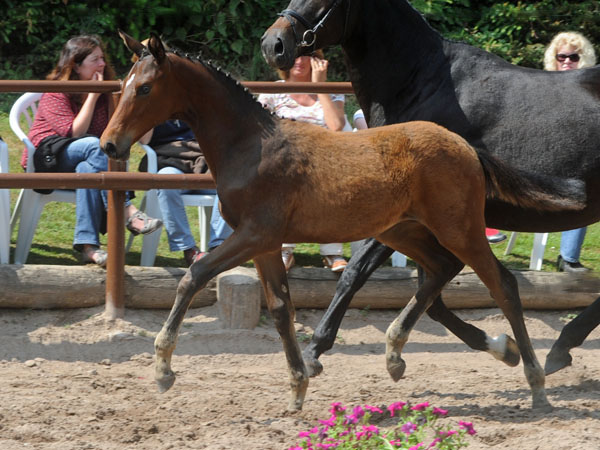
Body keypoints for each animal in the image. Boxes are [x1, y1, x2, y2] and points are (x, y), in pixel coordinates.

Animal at [99, 31, 584, 412]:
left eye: (145, 88)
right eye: (122, 85)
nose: (109, 144)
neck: (252, 146)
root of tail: (466, 146)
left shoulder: (253, 234)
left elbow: (194, 275)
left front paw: (163, 370)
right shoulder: (267, 244)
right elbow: (281, 310)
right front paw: (298, 387)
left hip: (458, 228)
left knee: (502, 283)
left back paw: (536, 384)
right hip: (402, 229)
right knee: (442, 270)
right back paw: (404, 355)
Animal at [262, 0, 600, 380]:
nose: (273, 44)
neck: (421, 84)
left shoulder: (403, 212)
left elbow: (355, 274)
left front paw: (315, 351)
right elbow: (434, 297)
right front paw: (501, 347)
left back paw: (561, 346)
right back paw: (561, 347)